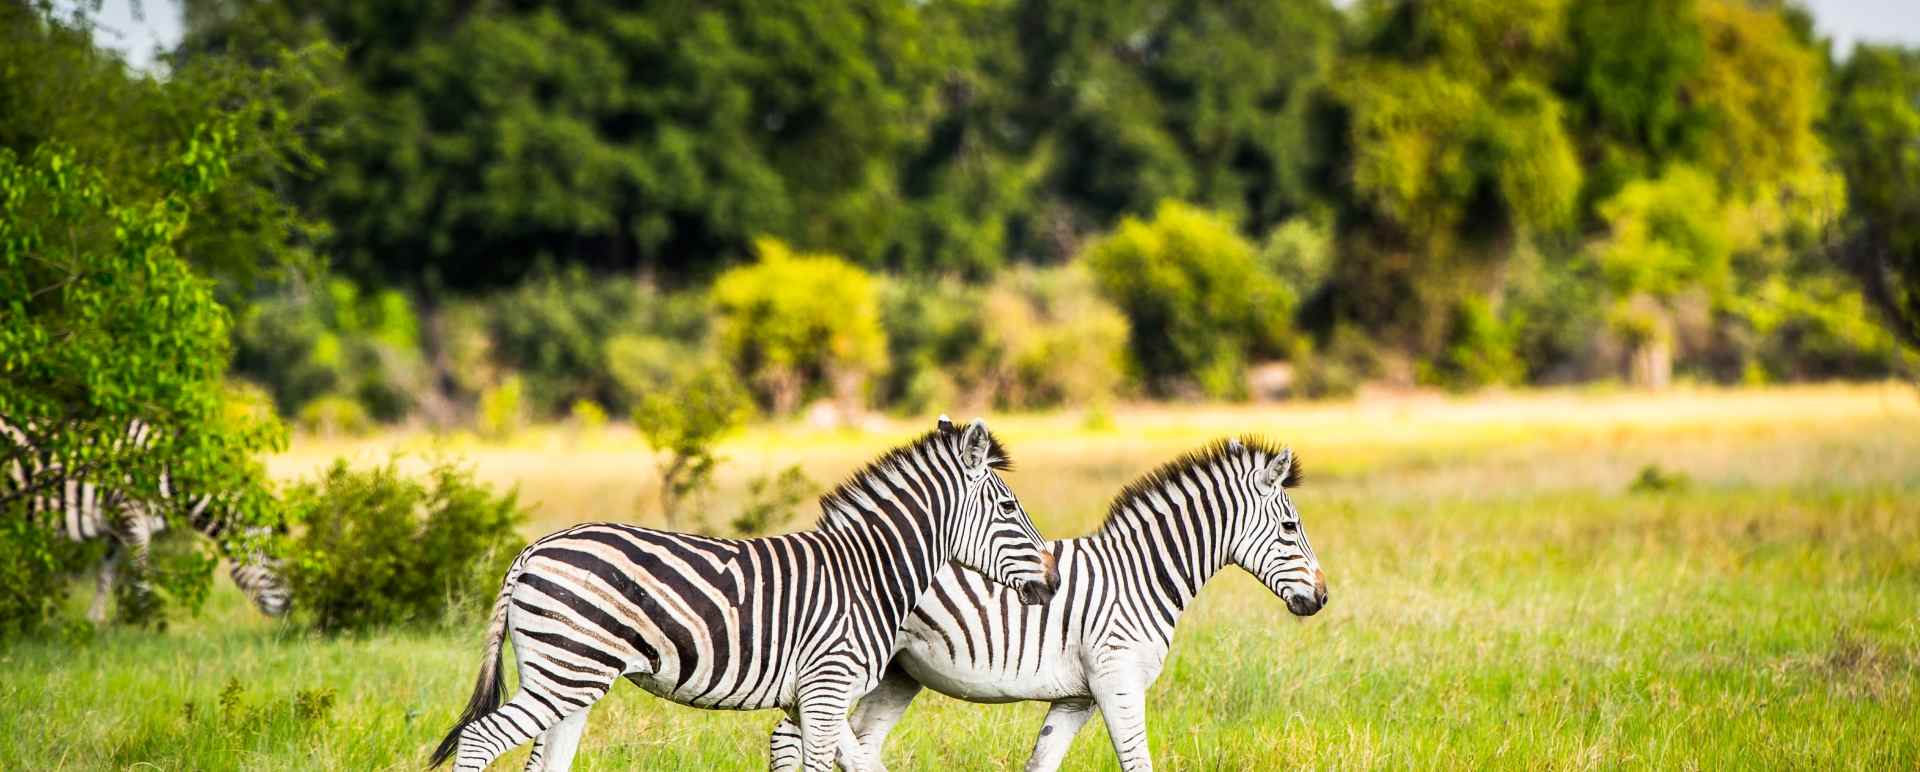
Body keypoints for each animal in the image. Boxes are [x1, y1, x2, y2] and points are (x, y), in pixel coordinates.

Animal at [0, 417, 291, 622]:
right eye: (272, 561)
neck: (169, 478)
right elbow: (140, 573)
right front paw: (142, 624)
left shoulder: (115, 528)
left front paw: (94, 621)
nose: (290, 605)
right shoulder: (131, 515)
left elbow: (104, 575)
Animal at [430, 416, 1062, 772]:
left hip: (567, 677)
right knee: (480, 738)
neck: (868, 572)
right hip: (565, 671)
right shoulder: (826, 689)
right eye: (1009, 507)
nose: (1053, 581)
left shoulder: (805, 701)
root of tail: (530, 551)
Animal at [768, 437, 1325, 772]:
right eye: (1290, 527)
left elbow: (1043, 762)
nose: (1321, 598)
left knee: (854, 739)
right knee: (806, 735)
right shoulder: (1117, 680)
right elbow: (1137, 762)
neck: (1139, 576)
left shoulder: (1077, 696)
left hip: (898, 672)